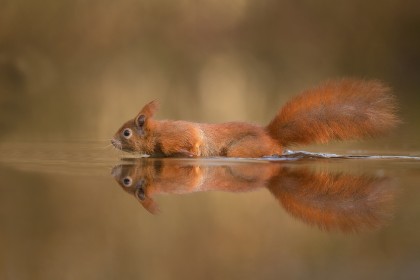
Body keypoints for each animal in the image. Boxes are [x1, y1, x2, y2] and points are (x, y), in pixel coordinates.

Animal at [110, 79, 398, 158]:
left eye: (126, 132)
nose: (111, 142)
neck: (155, 134)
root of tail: (270, 135)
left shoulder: (175, 135)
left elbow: (190, 141)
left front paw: (188, 153)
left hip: (242, 149)